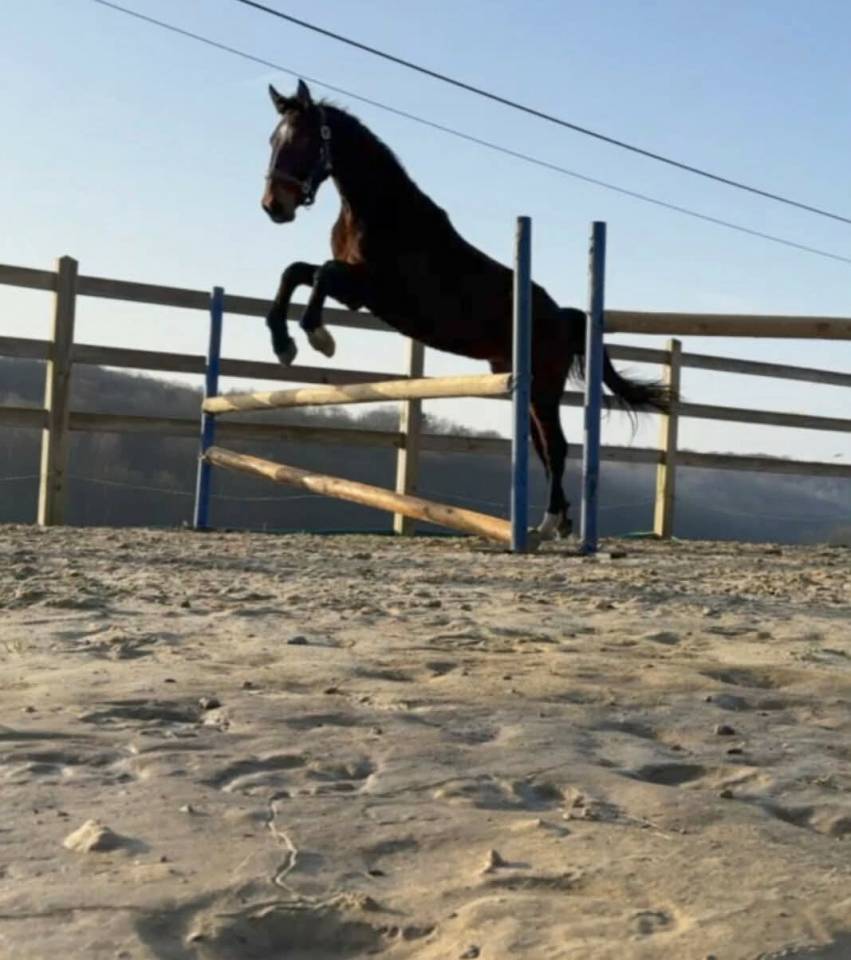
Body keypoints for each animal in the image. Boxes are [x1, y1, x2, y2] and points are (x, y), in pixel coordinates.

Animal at [260, 80, 670, 540]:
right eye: (273, 140)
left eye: (303, 140)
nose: (274, 207)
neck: (379, 211)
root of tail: (565, 317)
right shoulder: (357, 290)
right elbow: (297, 272)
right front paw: (283, 343)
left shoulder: (370, 290)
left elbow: (320, 276)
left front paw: (317, 337)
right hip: (523, 388)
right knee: (543, 446)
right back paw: (558, 523)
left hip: (544, 386)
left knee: (557, 447)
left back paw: (548, 523)